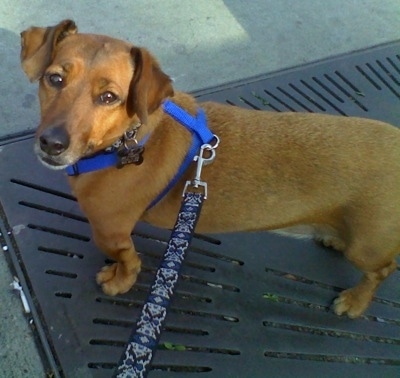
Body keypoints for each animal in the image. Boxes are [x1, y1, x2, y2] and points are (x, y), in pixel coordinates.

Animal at [20, 19, 398, 318]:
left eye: (109, 97)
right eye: (54, 79)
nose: (52, 143)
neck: (128, 142)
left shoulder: (110, 232)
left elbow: (128, 259)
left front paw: (120, 281)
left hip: (366, 249)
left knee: (383, 270)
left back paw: (355, 302)